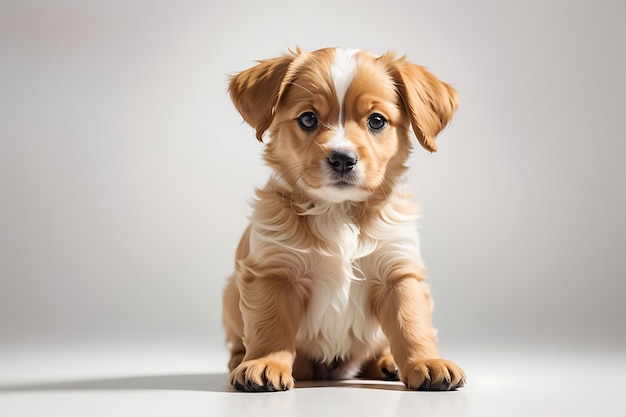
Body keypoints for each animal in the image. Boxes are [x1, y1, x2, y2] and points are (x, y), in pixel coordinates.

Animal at [223, 46, 464, 390]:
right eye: (308, 118)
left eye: (376, 120)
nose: (342, 159)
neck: (339, 211)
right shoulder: (274, 272)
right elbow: (270, 327)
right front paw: (265, 363)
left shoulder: (398, 274)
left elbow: (412, 324)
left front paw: (426, 362)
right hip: (231, 294)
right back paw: (241, 359)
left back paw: (388, 363)